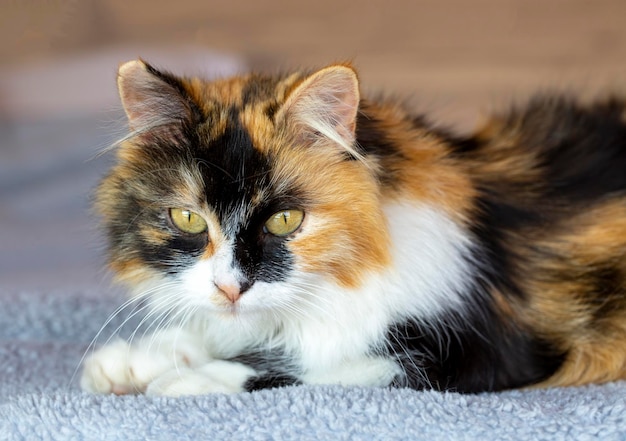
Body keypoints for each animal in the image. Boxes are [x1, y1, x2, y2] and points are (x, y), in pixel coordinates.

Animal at [79, 59, 624, 396]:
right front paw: (133, 361)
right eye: (188, 218)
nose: (230, 288)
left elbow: (307, 366)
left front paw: (189, 382)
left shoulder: (469, 355)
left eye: (285, 220)